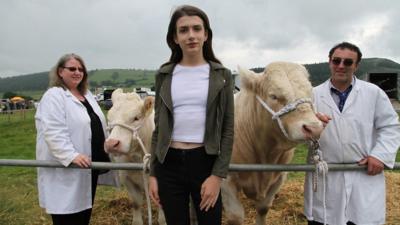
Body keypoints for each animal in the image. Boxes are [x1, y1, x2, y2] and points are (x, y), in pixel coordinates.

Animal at [222, 62, 324, 225]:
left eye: (310, 92)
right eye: (273, 96)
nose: (314, 128)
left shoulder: (279, 177)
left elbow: (263, 208)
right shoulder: (226, 180)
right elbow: (235, 216)